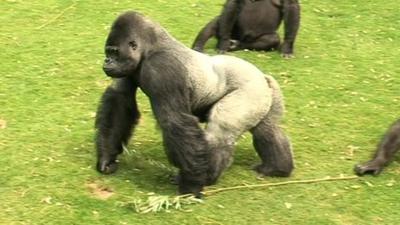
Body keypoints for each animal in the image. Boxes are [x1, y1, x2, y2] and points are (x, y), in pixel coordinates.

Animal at [95, 11, 292, 197]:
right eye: (108, 52)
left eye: (114, 52)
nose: (107, 61)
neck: (151, 46)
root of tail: (263, 77)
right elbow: (119, 100)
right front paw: (107, 159)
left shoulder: (162, 68)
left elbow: (174, 121)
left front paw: (191, 185)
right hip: (263, 97)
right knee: (267, 129)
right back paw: (277, 168)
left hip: (248, 92)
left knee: (220, 131)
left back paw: (207, 177)